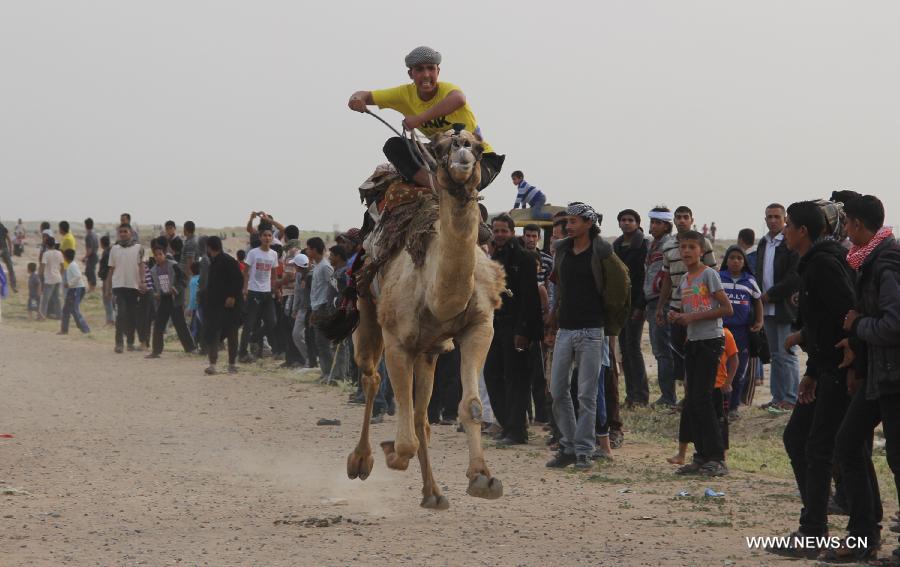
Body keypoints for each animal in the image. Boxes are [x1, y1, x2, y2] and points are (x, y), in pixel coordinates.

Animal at [346, 129, 506, 510]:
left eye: (478, 149)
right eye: (442, 148)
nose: (462, 154)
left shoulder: (479, 327)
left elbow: (472, 406)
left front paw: (482, 478)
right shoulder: (398, 344)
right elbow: (405, 440)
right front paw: (390, 452)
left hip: (429, 351)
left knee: (421, 416)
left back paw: (433, 493)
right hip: (369, 313)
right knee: (371, 377)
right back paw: (361, 461)